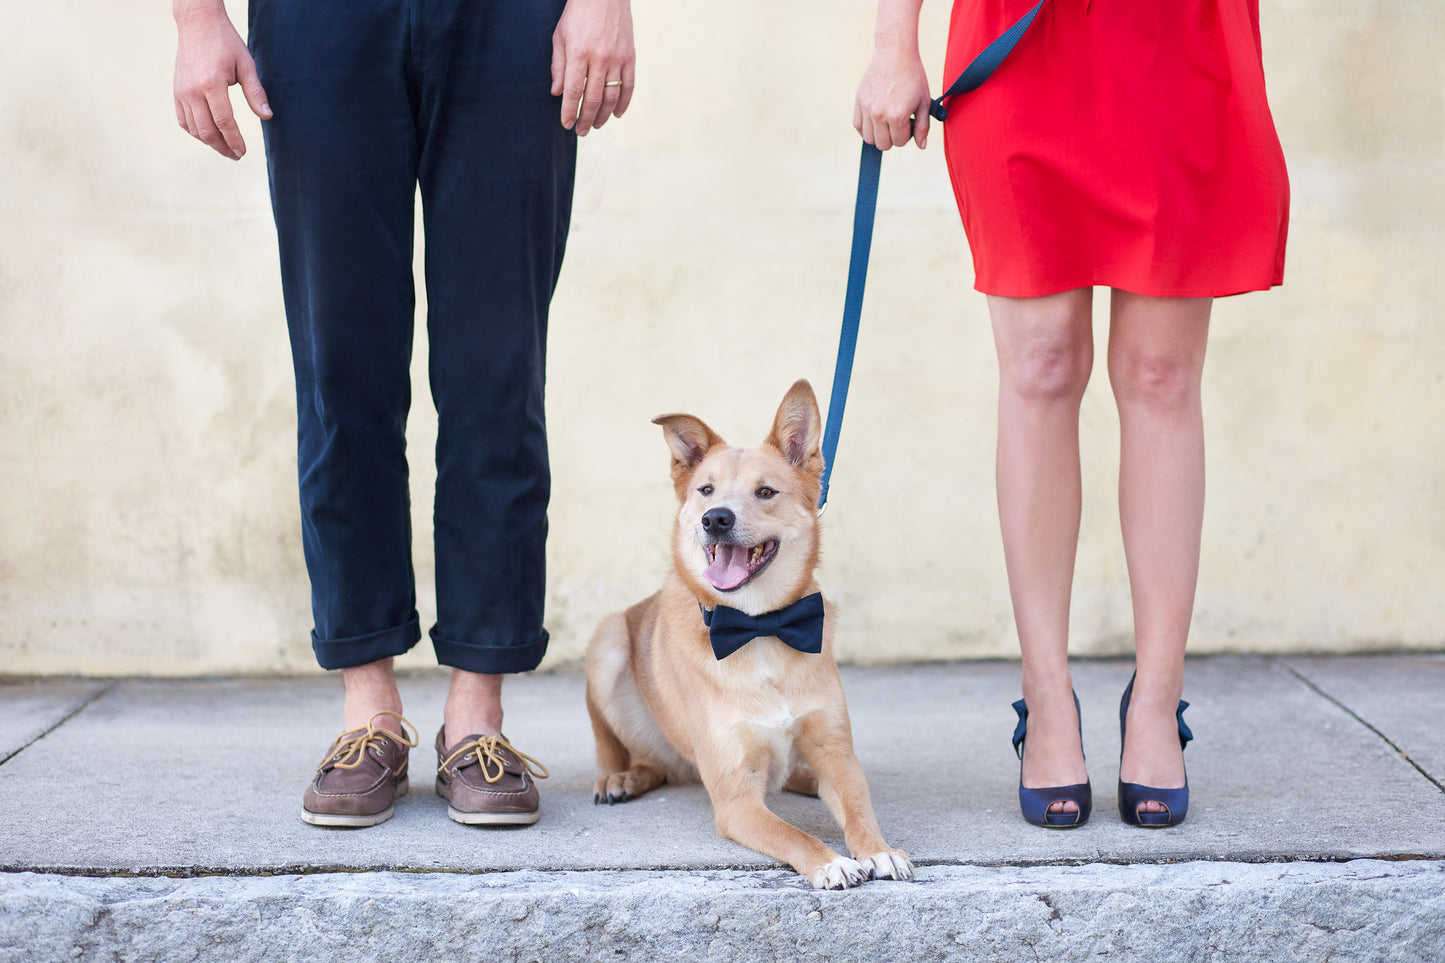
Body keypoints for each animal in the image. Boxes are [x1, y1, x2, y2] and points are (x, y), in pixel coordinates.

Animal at [580, 381, 907, 884]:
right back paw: (621, 777)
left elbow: (857, 810)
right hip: (608, 641)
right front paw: (830, 861)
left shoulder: (837, 756)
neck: (760, 627)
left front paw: (878, 850)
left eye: (765, 491)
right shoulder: (736, 801)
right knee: (628, 753)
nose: (715, 518)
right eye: (706, 490)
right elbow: (793, 834)